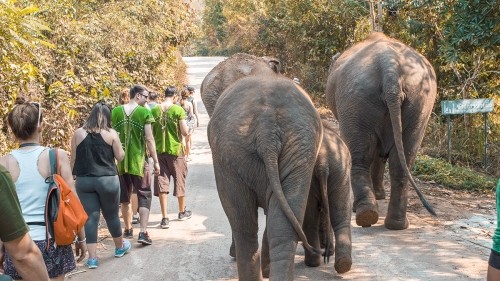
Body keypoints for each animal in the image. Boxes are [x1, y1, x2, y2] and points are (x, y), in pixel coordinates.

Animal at [300, 118, 352, 274]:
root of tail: (323, 163)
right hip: (340, 171)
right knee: (341, 217)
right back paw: (343, 264)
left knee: (310, 220)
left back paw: (313, 262)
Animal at [324, 32, 438, 230]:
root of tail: (390, 68)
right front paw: (379, 196)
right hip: (419, 102)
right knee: (402, 161)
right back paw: (395, 224)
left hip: (355, 101)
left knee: (359, 157)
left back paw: (365, 215)